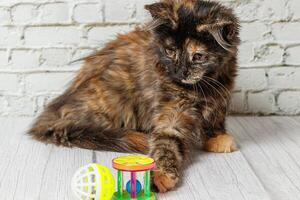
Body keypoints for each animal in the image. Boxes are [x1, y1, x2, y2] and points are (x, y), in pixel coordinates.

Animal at [27, 0, 239, 194]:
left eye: (198, 56)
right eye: (170, 51)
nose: (179, 72)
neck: (201, 88)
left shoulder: (221, 98)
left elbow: (216, 121)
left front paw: (218, 138)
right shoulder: (171, 114)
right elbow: (166, 144)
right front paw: (159, 175)